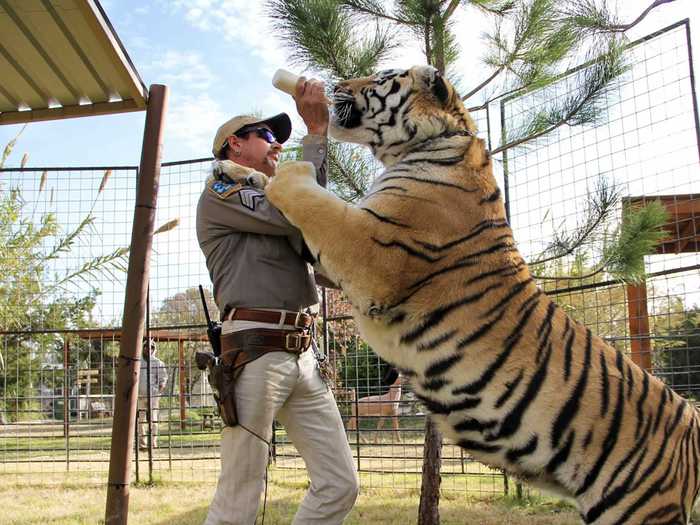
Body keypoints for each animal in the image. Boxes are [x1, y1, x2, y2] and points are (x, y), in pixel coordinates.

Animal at [264, 66, 700, 524]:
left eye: (381, 77)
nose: (336, 86)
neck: (425, 144)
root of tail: (692, 425)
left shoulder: (369, 248)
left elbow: (314, 201)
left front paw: (283, 170)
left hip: (636, 508)